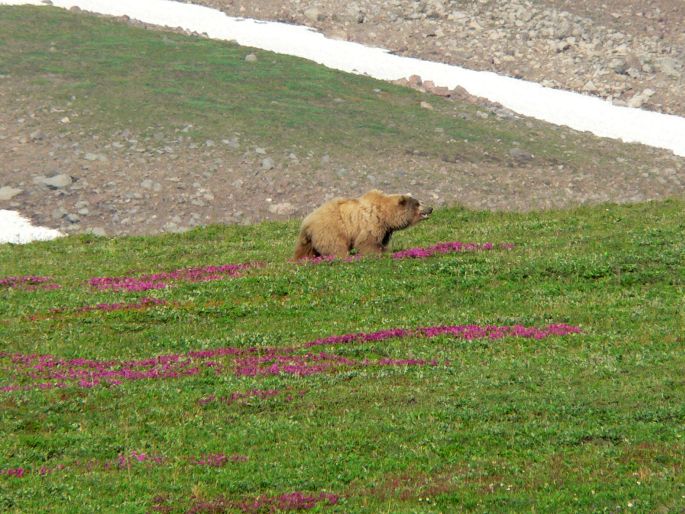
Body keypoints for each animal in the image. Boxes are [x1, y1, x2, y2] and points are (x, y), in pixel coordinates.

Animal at [292, 188, 430, 258]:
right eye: (418, 203)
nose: (430, 208)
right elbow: (367, 241)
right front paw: (384, 251)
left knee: (304, 250)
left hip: (308, 239)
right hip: (330, 230)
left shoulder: (385, 229)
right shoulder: (372, 223)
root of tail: (307, 222)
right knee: (336, 247)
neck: (386, 215)